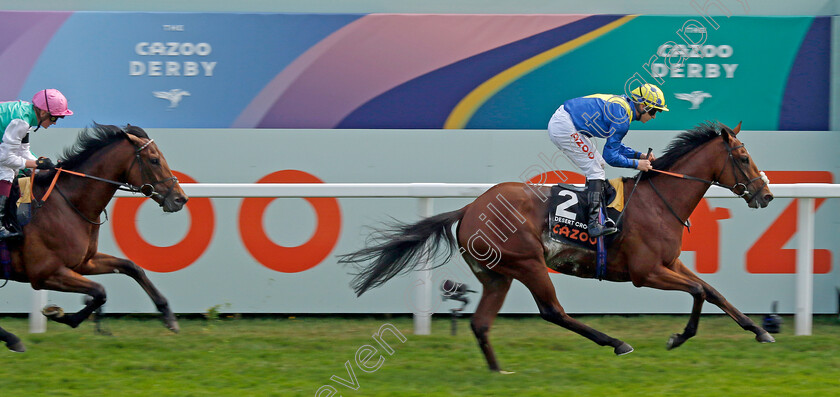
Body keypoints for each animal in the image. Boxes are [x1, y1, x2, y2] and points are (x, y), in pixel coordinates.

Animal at [0, 122, 185, 352]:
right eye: (154, 160)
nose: (181, 199)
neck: (69, 204)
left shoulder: (84, 262)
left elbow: (132, 267)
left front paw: (168, 315)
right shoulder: (45, 273)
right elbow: (100, 290)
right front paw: (60, 315)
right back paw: (12, 338)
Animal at [340, 120, 776, 372]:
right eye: (743, 156)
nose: (766, 194)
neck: (659, 200)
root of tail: (469, 207)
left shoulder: (670, 263)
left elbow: (715, 292)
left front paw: (759, 330)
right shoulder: (646, 272)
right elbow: (700, 291)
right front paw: (678, 337)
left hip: (497, 275)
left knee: (481, 323)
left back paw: (499, 372)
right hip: (529, 263)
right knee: (553, 311)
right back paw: (616, 343)